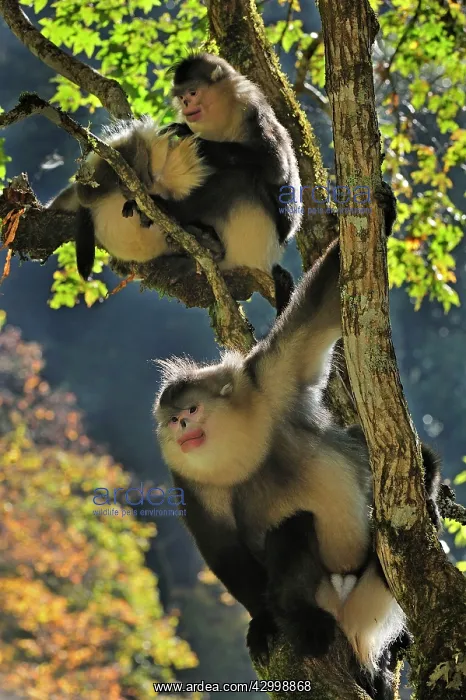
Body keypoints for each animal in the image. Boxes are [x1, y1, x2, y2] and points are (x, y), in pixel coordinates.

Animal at [153, 226, 443, 699]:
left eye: (191, 411)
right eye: (174, 420)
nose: (181, 428)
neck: (243, 446)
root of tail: (349, 618)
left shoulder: (271, 380)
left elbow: (321, 309)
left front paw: (381, 212)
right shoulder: (192, 480)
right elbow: (224, 550)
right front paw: (263, 623)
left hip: (374, 586)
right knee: (292, 527)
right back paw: (299, 617)